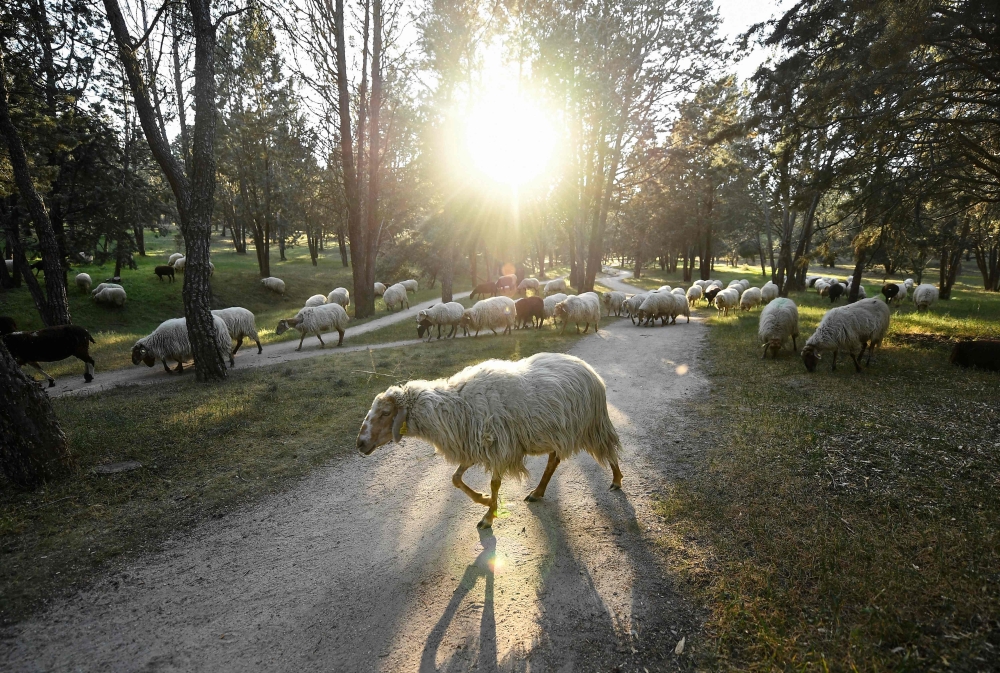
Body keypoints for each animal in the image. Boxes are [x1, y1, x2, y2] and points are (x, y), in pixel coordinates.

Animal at [355, 352, 623, 529]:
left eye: (385, 413)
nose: (360, 443)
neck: (454, 407)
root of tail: (586, 366)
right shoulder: (471, 445)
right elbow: (455, 479)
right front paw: (483, 501)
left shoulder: (498, 446)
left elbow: (494, 483)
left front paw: (488, 515)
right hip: (558, 431)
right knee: (553, 461)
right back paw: (537, 492)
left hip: (593, 424)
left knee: (609, 449)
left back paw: (617, 480)